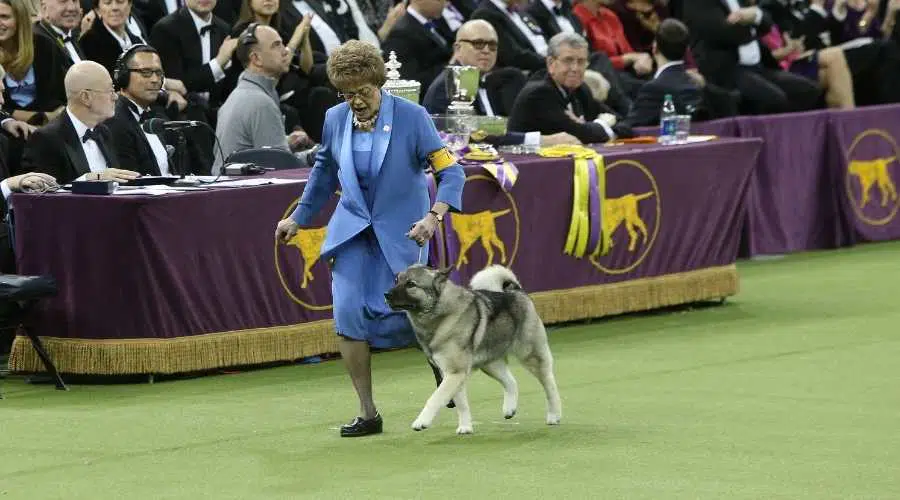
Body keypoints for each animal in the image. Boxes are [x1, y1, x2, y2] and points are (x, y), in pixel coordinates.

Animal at [382, 266, 564, 434]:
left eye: (410, 284)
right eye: (396, 280)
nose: (386, 294)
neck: (439, 312)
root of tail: (517, 291)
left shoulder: (454, 373)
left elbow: (435, 398)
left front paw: (422, 421)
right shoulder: (453, 375)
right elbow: (461, 403)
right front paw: (465, 427)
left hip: (530, 355)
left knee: (550, 385)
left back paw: (554, 415)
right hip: (490, 364)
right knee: (511, 382)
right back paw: (509, 409)